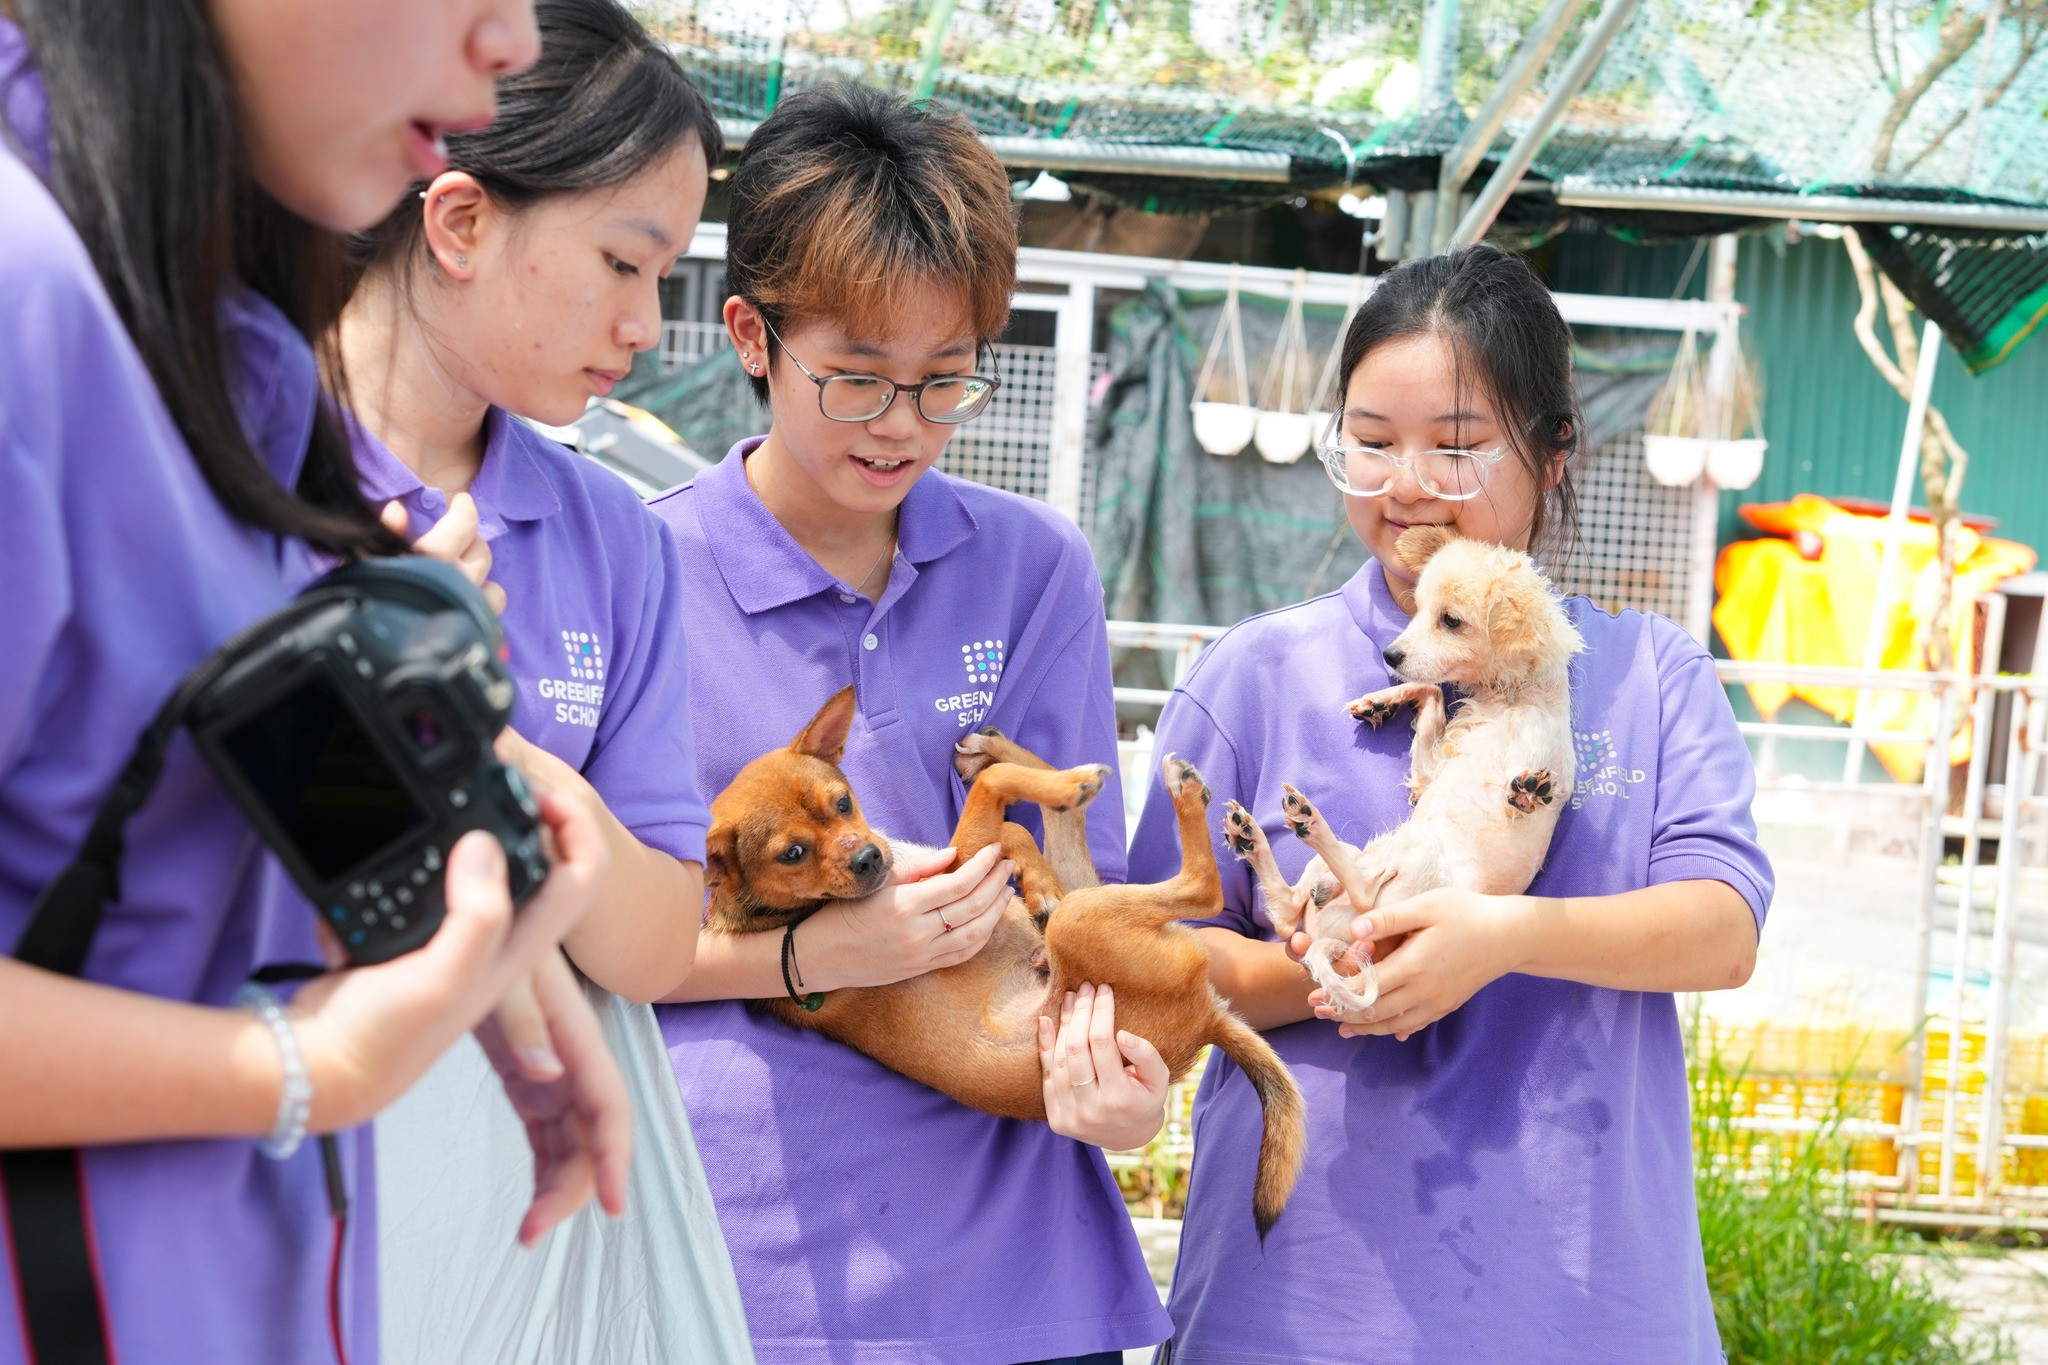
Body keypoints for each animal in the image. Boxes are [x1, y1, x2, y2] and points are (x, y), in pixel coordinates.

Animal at [712, 687, 1302, 1236]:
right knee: (1201, 888)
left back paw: (1010, 758)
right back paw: (1158, 789)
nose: (869, 858)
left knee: (1066, 824)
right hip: (1086, 920)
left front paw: (1035, 878)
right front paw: (1038, 838)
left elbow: (1010, 824)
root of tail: (1206, 1019)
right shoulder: (960, 865)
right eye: (791, 854)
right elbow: (998, 803)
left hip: (1089, 896)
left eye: (841, 803)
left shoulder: (961, 856)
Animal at [1212, 527, 1581, 1019]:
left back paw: (1307, 822)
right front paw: (1382, 701)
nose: (1391, 654)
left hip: (1414, 861)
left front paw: (1530, 791)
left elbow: (1526, 792)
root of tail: (1331, 936)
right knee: (1290, 911)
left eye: (1451, 621)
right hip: (1351, 861)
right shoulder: (1429, 773)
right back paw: (1253, 836)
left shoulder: (1538, 758)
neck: (1508, 700)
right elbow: (1431, 695)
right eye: (1418, 610)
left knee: (1359, 890)